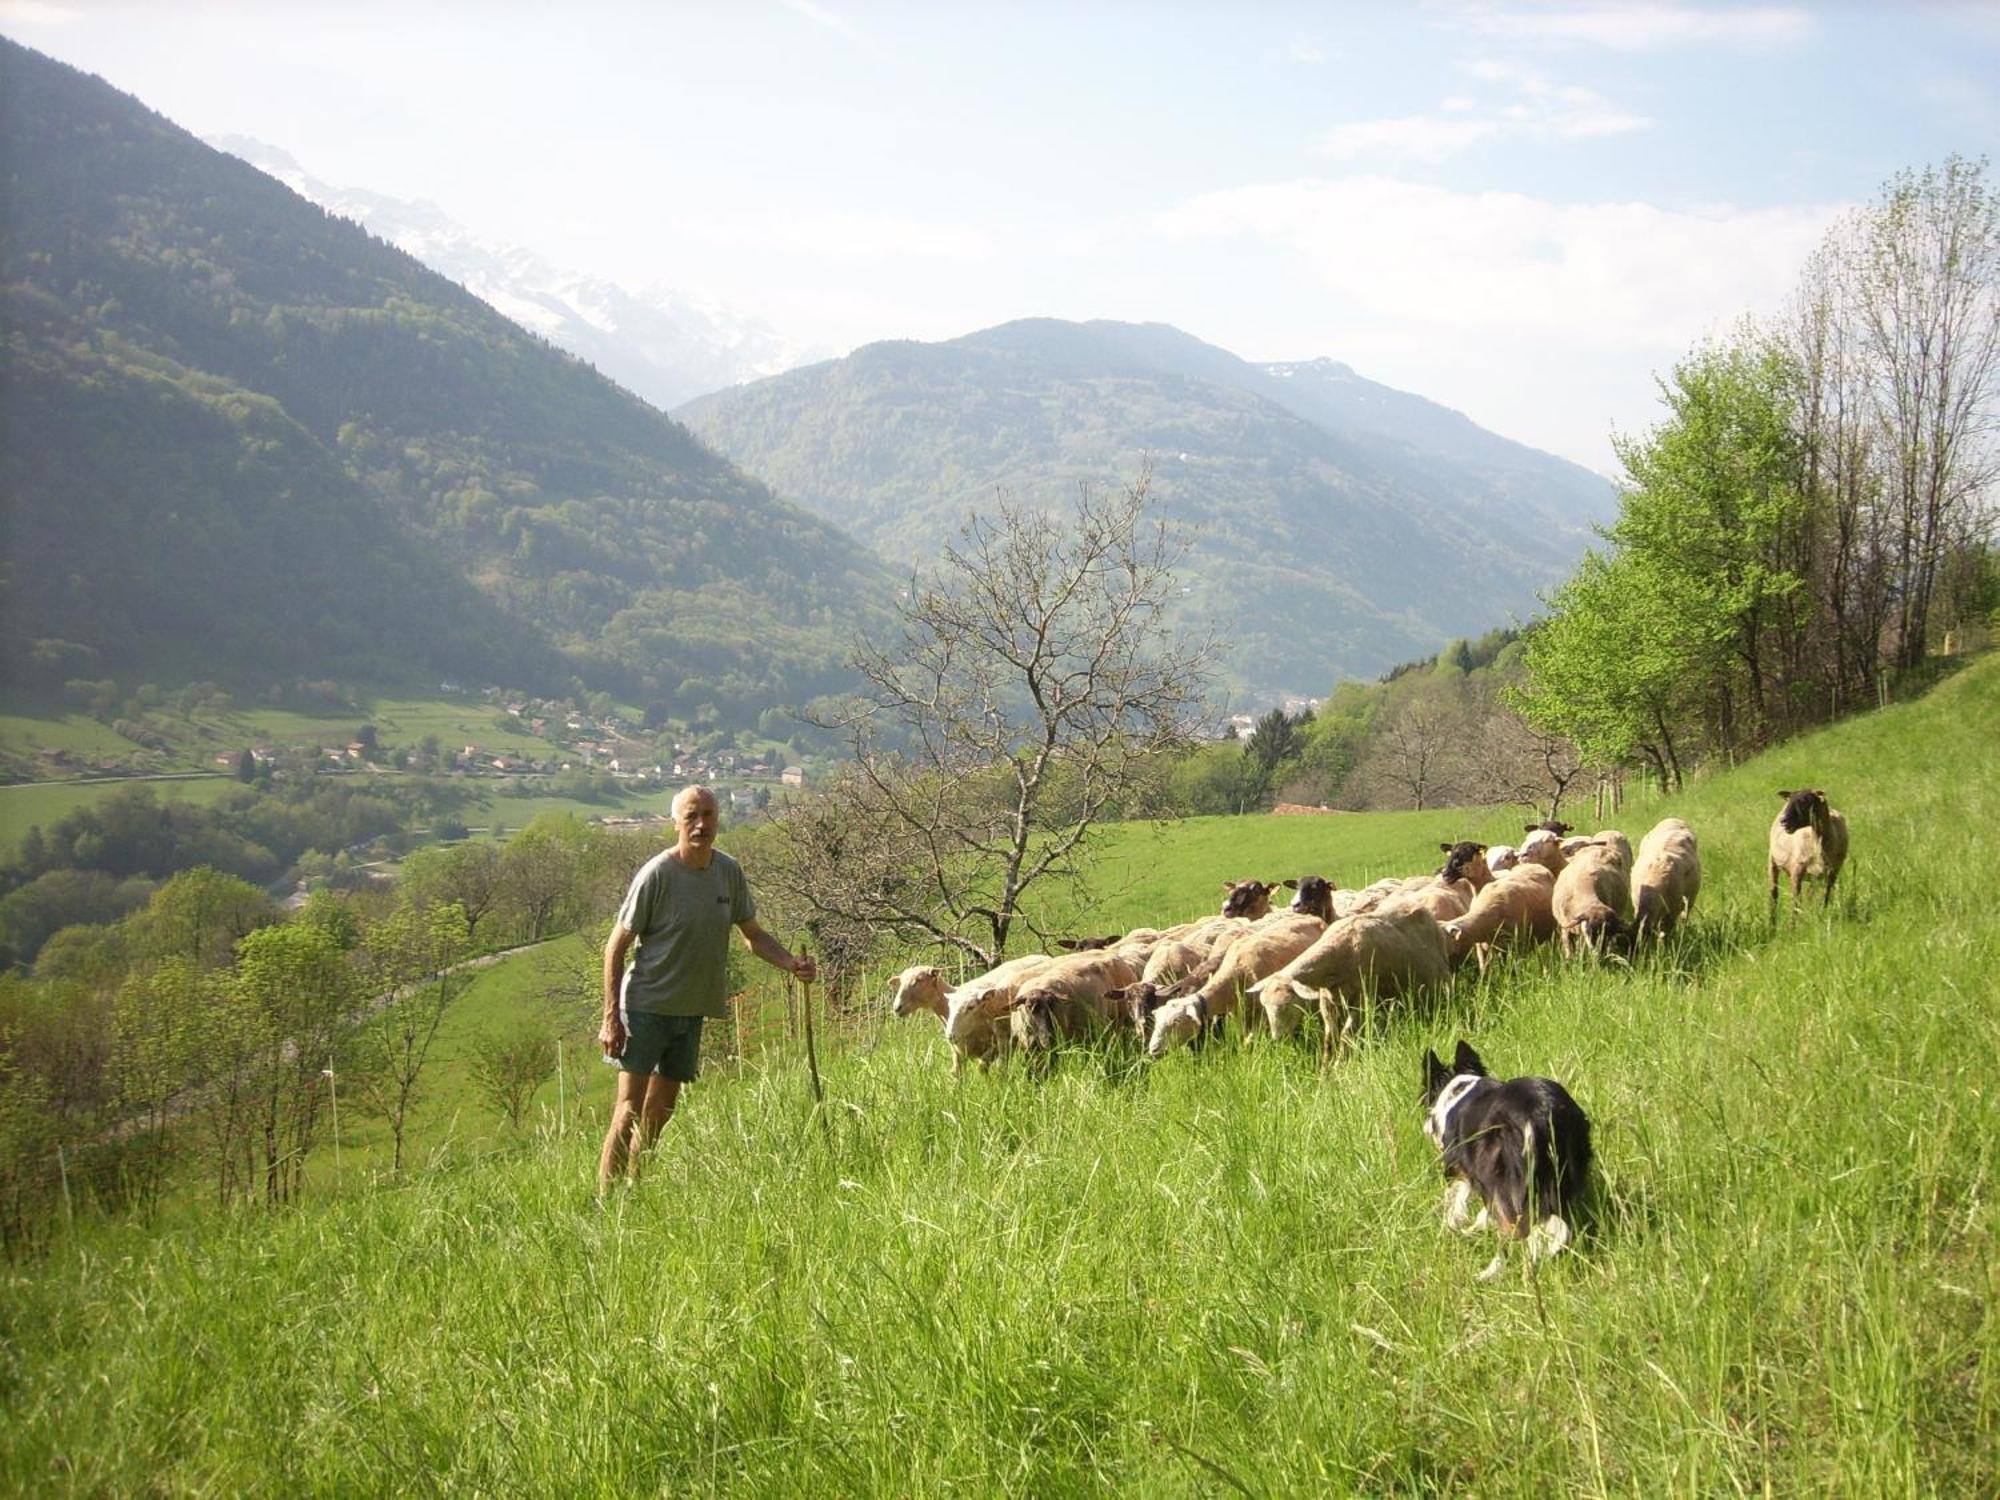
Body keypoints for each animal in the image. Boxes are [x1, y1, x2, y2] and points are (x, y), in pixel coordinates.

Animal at [1240, 904, 1448, 1056]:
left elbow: (1345, 1037)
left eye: (1288, 1005)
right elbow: (1329, 1039)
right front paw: (1325, 1074)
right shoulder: (1327, 1001)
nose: (1278, 1039)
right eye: (1264, 1006)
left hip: (1438, 984)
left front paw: (1339, 1068)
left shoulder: (1363, 999)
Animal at [1776, 788, 1848, 916]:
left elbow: (1825, 896)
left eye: (1805, 800)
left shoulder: (1832, 872)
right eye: (1789, 800)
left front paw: (1823, 913)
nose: (1783, 821)